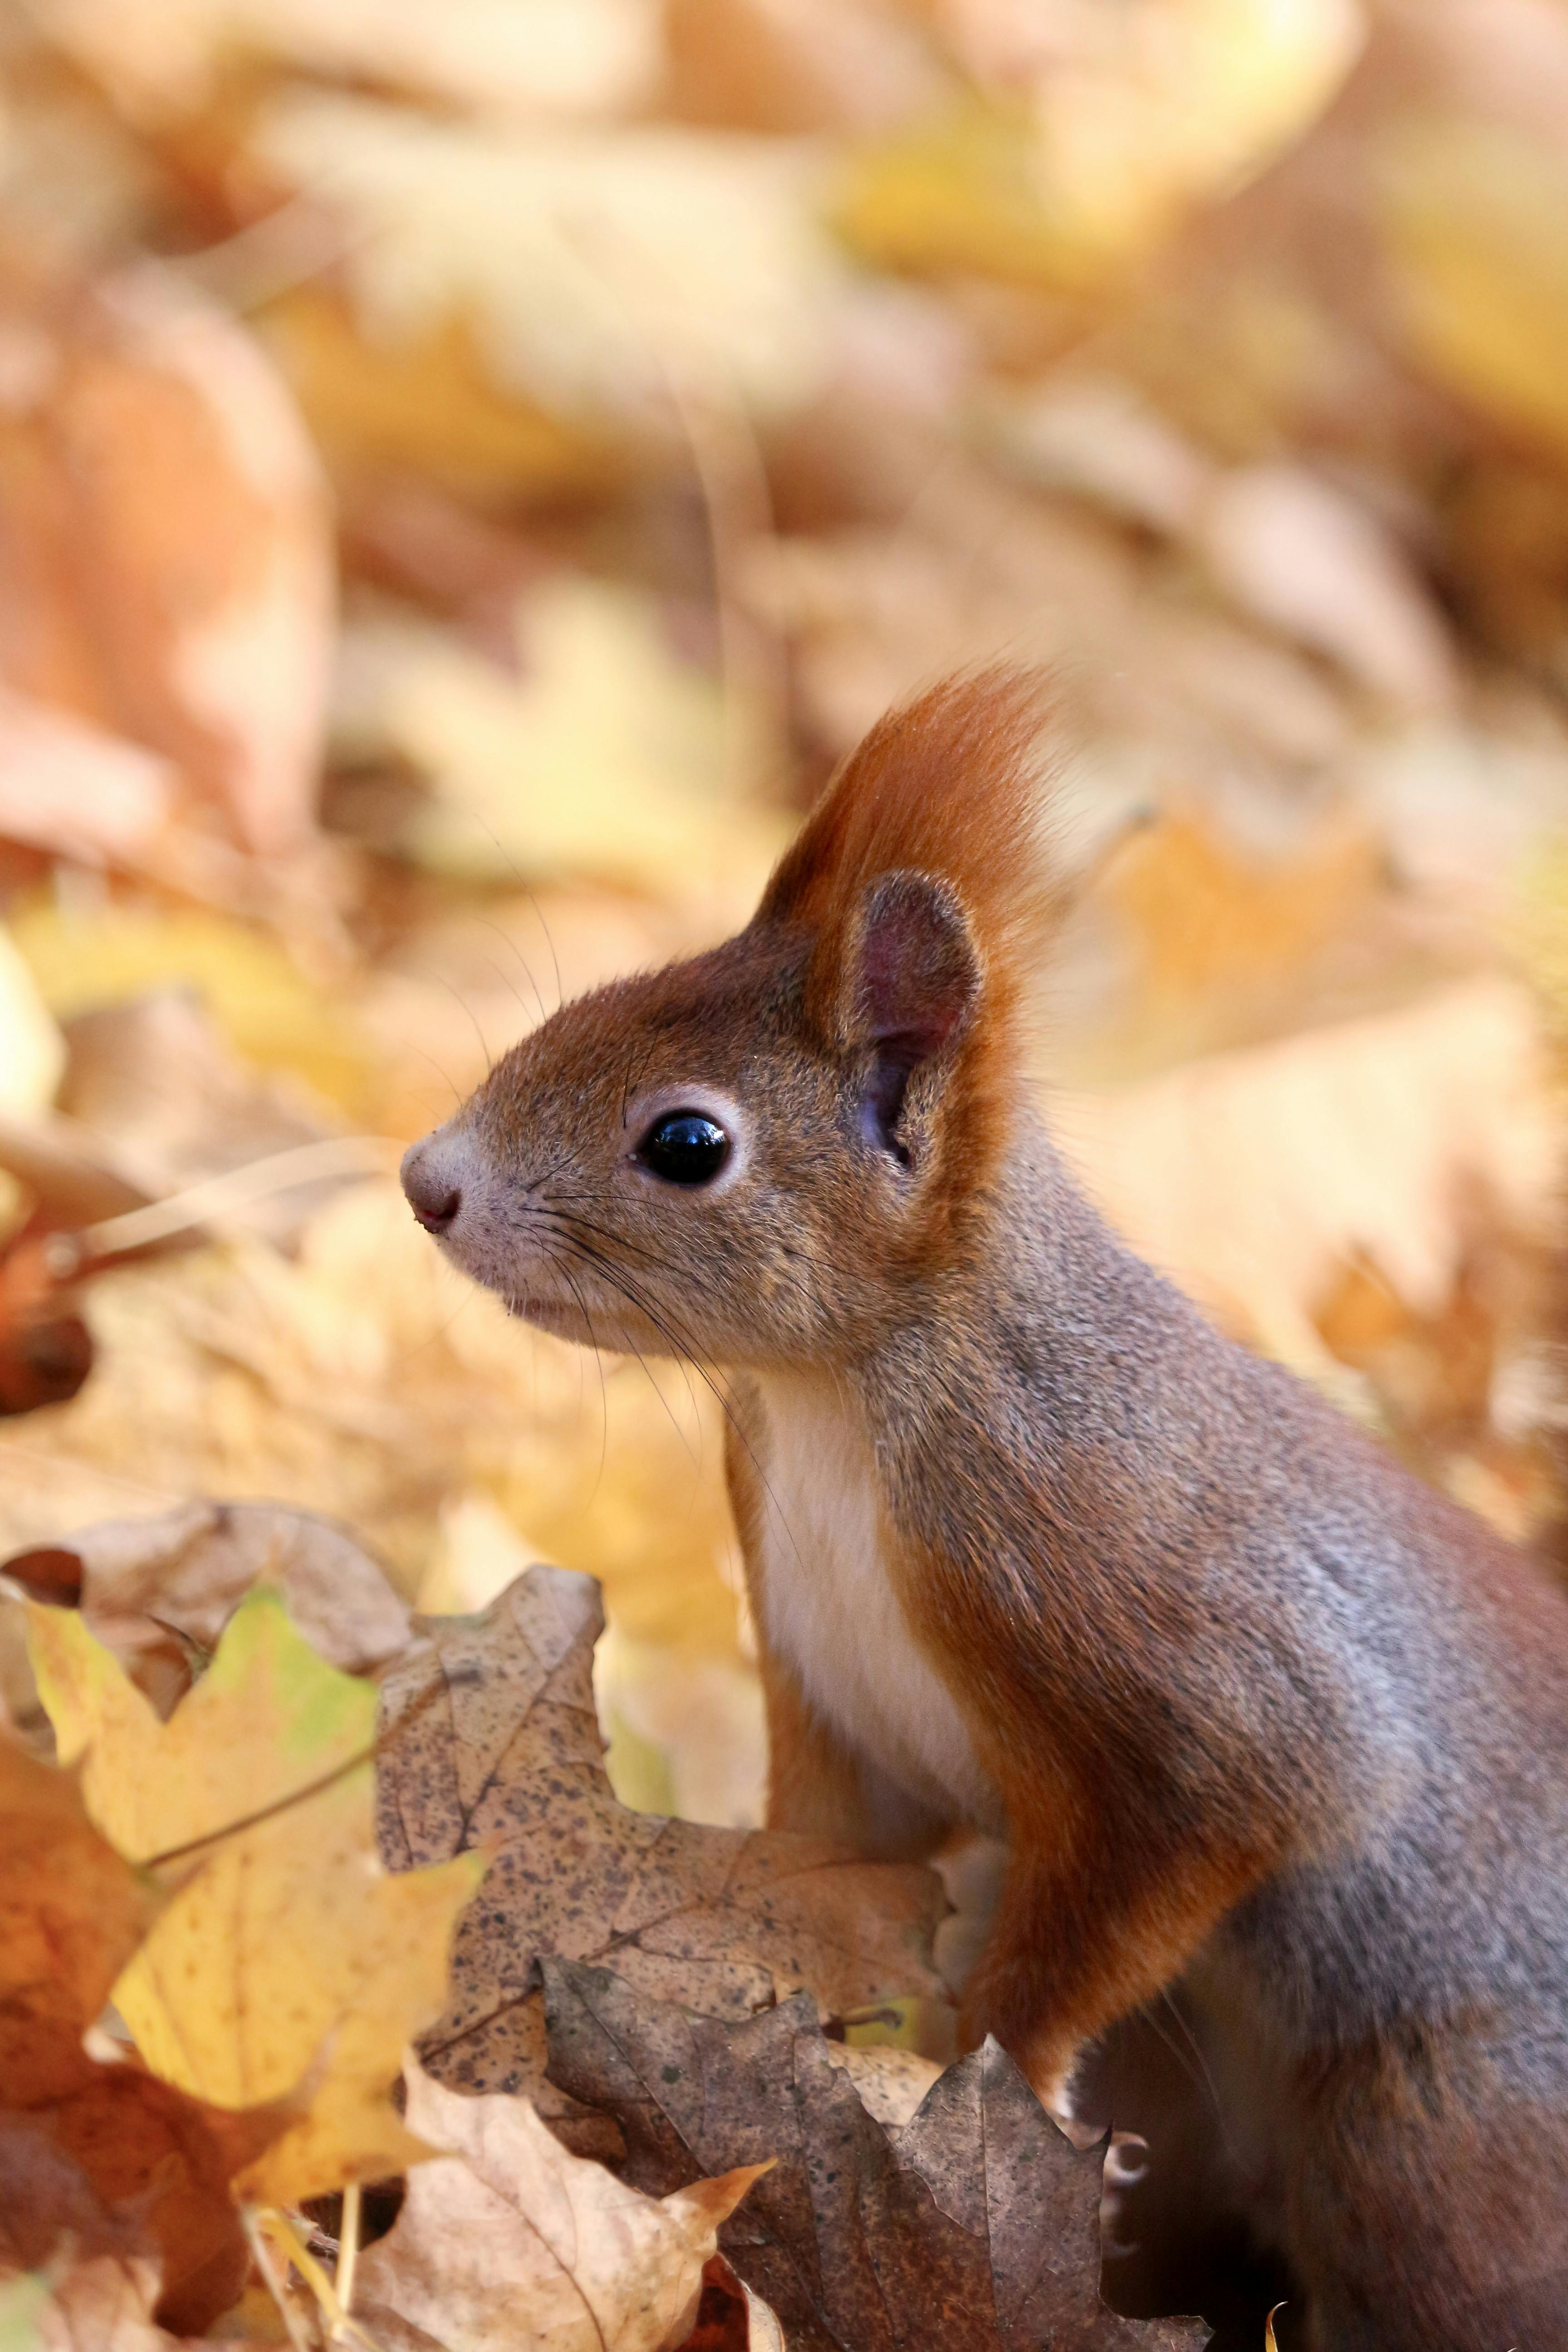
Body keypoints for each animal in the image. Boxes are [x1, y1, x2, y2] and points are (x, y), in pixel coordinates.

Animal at [402, 670, 1568, 2350]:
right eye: (594, 997)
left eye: (686, 1143)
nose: (426, 1182)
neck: (839, 1398)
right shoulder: (833, 1701)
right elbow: (828, 1862)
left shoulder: (1142, 1594)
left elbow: (1242, 1808)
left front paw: (993, 2067)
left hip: (1439, 2143)